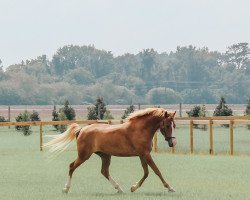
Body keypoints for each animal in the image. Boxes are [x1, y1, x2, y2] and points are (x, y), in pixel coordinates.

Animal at [44, 108, 176, 194]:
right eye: (168, 125)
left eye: (174, 125)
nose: (172, 143)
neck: (140, 129)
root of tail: (81, 130)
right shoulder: (145, 154)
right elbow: (156, 171)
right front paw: (170, 188)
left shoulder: (142, 155)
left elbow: (146, 172)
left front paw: (133, 187)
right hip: (84, 155)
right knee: (72, 166)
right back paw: (66, 189)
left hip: (105, 156)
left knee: (104, 171)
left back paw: (119, 189)